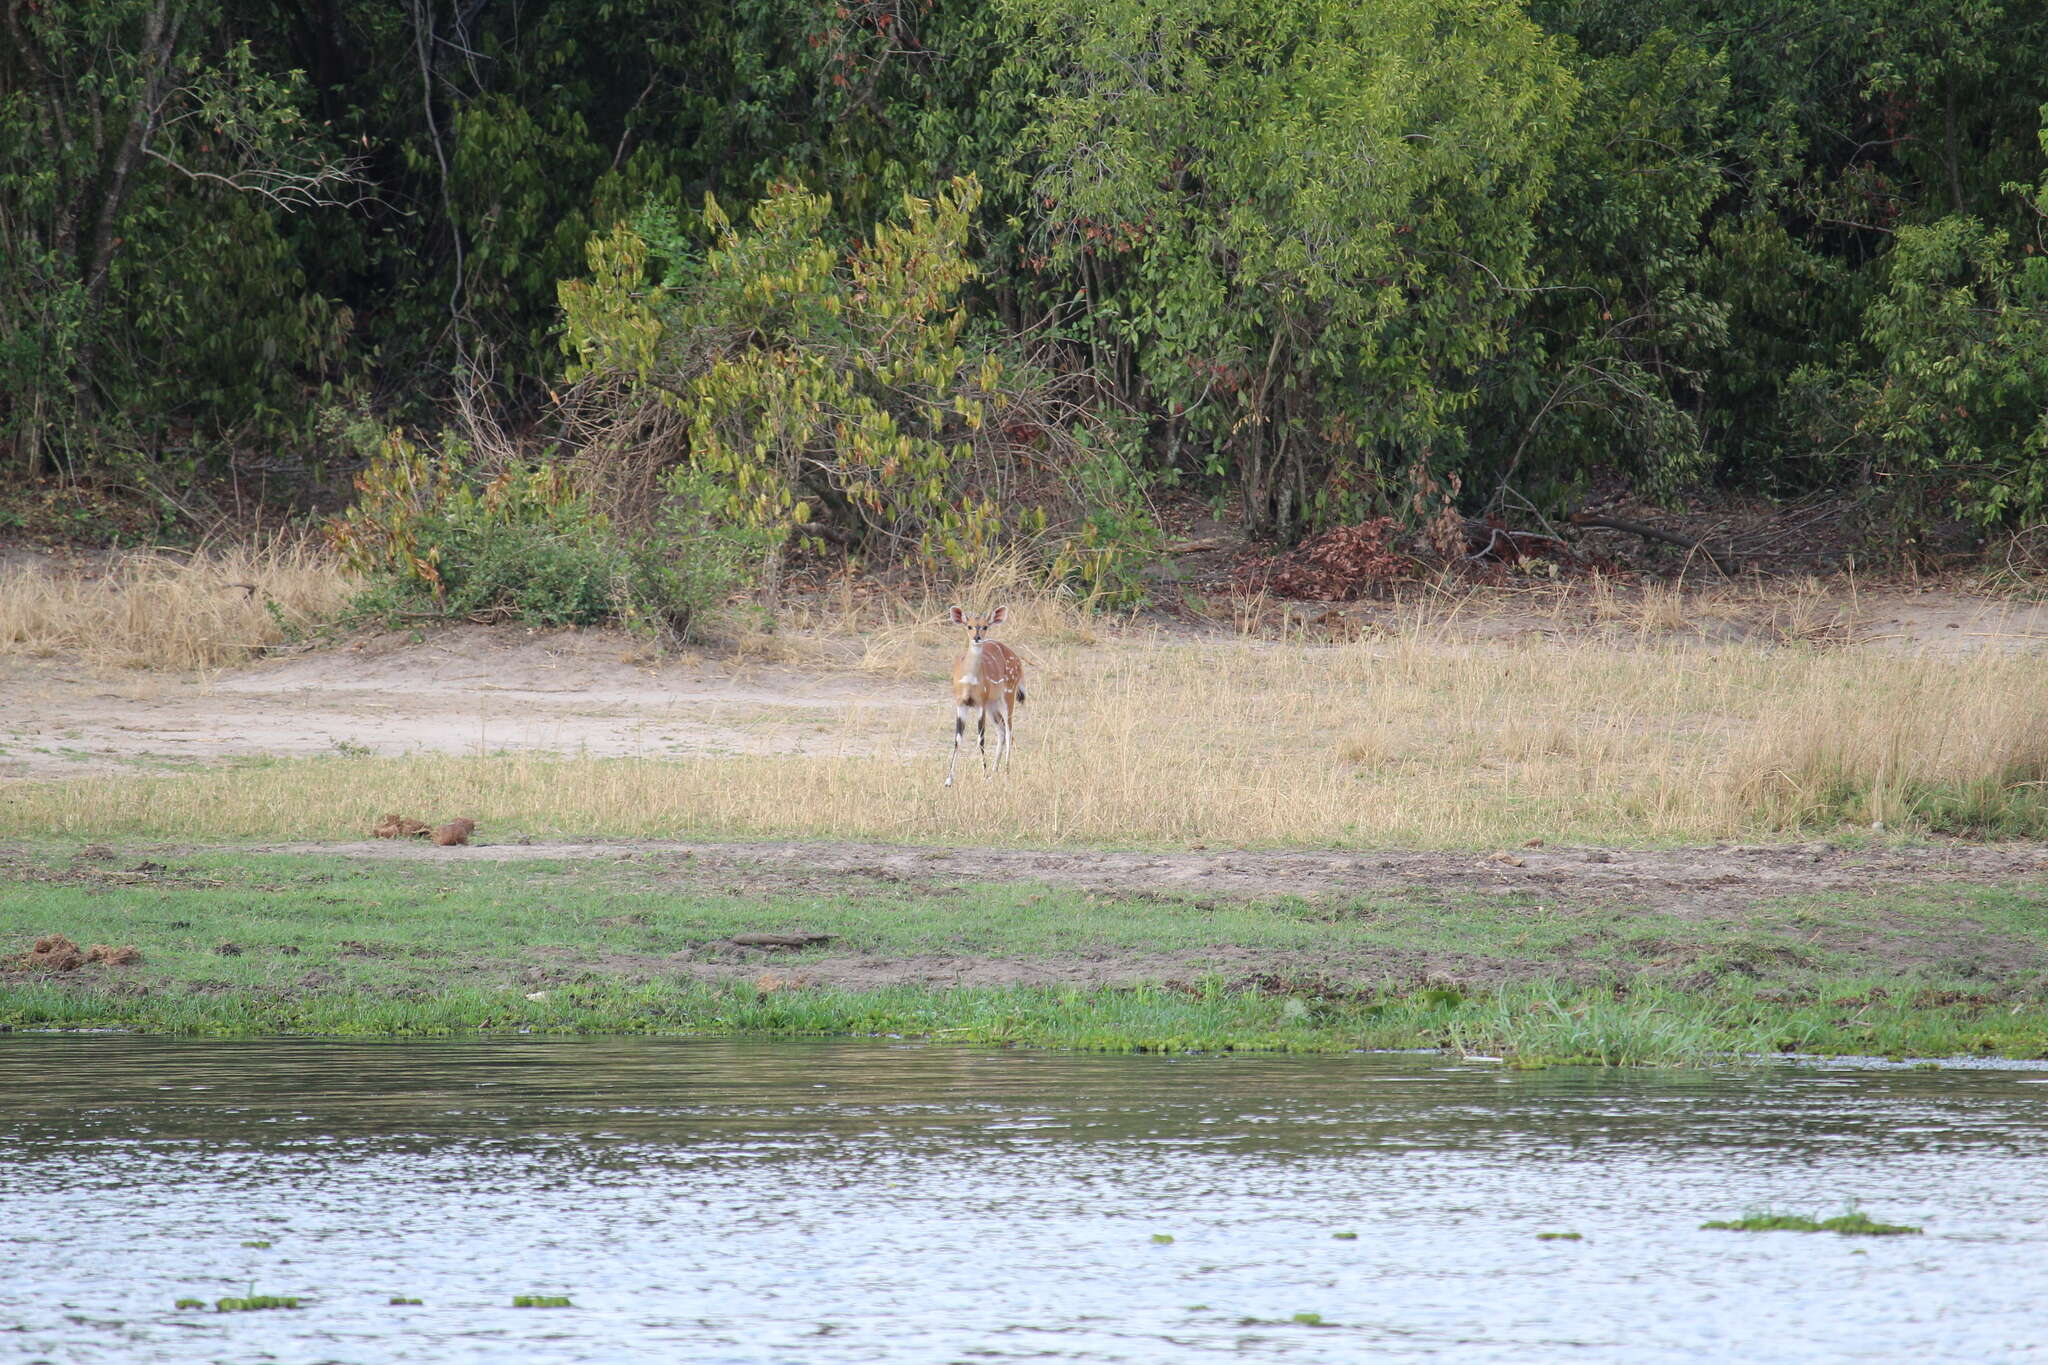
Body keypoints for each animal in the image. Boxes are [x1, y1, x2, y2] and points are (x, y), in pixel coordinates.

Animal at [942, 601, 1024, 785]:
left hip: (1008, 695)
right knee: (1001, 730)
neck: (969, 680)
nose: (977, 637)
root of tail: (1018, 660)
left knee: (1009, 729)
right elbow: (957, 738)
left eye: (985, 626)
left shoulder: (980, 702)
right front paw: (948, 780)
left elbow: (981, 738)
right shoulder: (961, 703)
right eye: (969, 626)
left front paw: (984, 775)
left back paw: (1006, 771)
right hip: (993, 704)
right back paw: (995, 769)